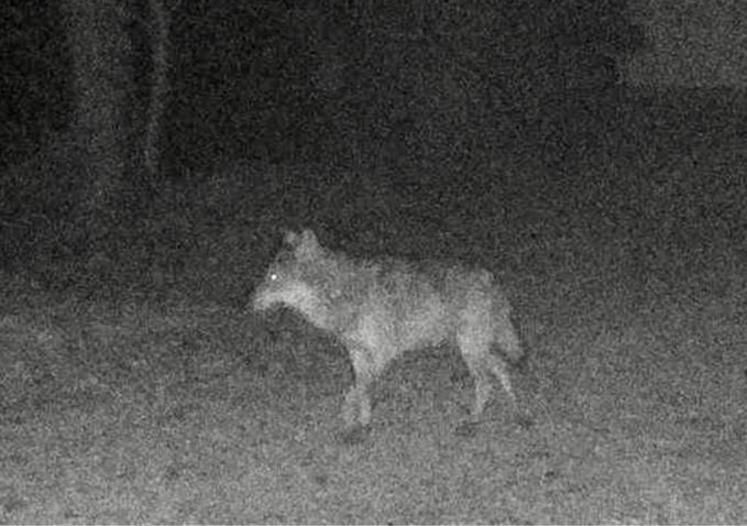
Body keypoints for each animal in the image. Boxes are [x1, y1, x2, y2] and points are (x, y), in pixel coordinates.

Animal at [254, 229, 524, 440]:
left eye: (273, 277)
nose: (249, 302)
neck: (338, 292)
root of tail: (490, 278)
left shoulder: (382, 354)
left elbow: (355, 392)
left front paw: (349, 423)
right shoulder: (356, 353)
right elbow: (361, 391)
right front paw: (362, 424)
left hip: (470, 349)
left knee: (486, 381)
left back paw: (473, 421)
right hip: (474, 348)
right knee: (501, 368)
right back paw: (517, 410)